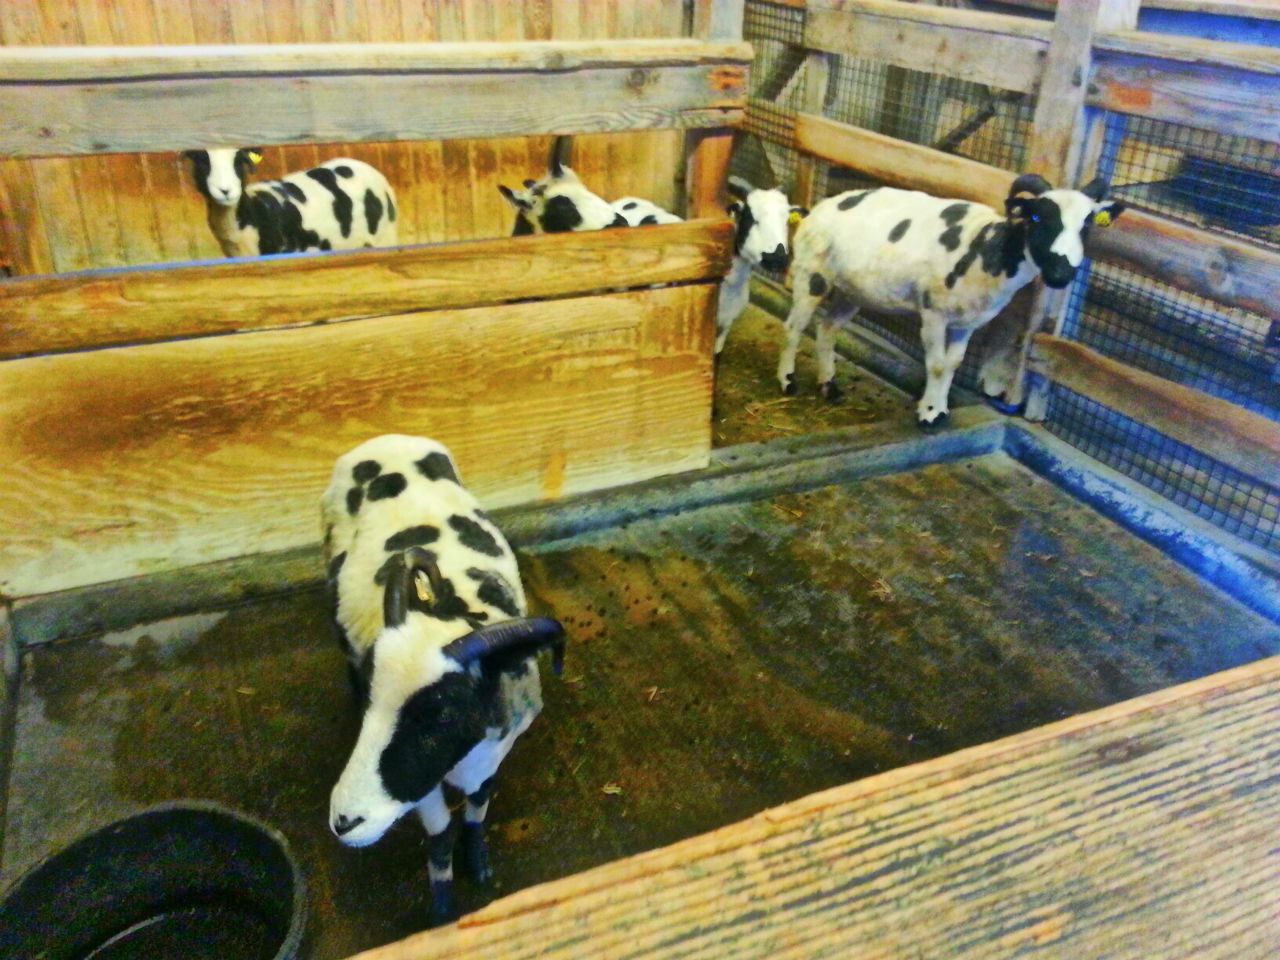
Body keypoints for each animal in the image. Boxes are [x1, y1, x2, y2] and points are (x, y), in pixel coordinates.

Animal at [321, 434, 565, 923]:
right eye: (373, 699)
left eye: (444, 713)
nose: (345, 822)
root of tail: (383, 440)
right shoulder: (425, 788)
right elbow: (439, 836)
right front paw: (443, 911)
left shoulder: (495, 755)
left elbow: (476, 811)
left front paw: (480, 866)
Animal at [777, 174, 1124, 424]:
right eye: (1037, 218)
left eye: (1088, 223)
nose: (1060, 273)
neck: (986, 249)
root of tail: (818, 209)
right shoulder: (934, 312)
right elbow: (937, 365)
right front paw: (929, 413)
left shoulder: (966, 322)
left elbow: (954, 364)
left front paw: (942, 409)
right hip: (812, 275)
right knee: (794, 327)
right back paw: (787, 380)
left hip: (853, 290)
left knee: (827, 328)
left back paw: (829, 386)